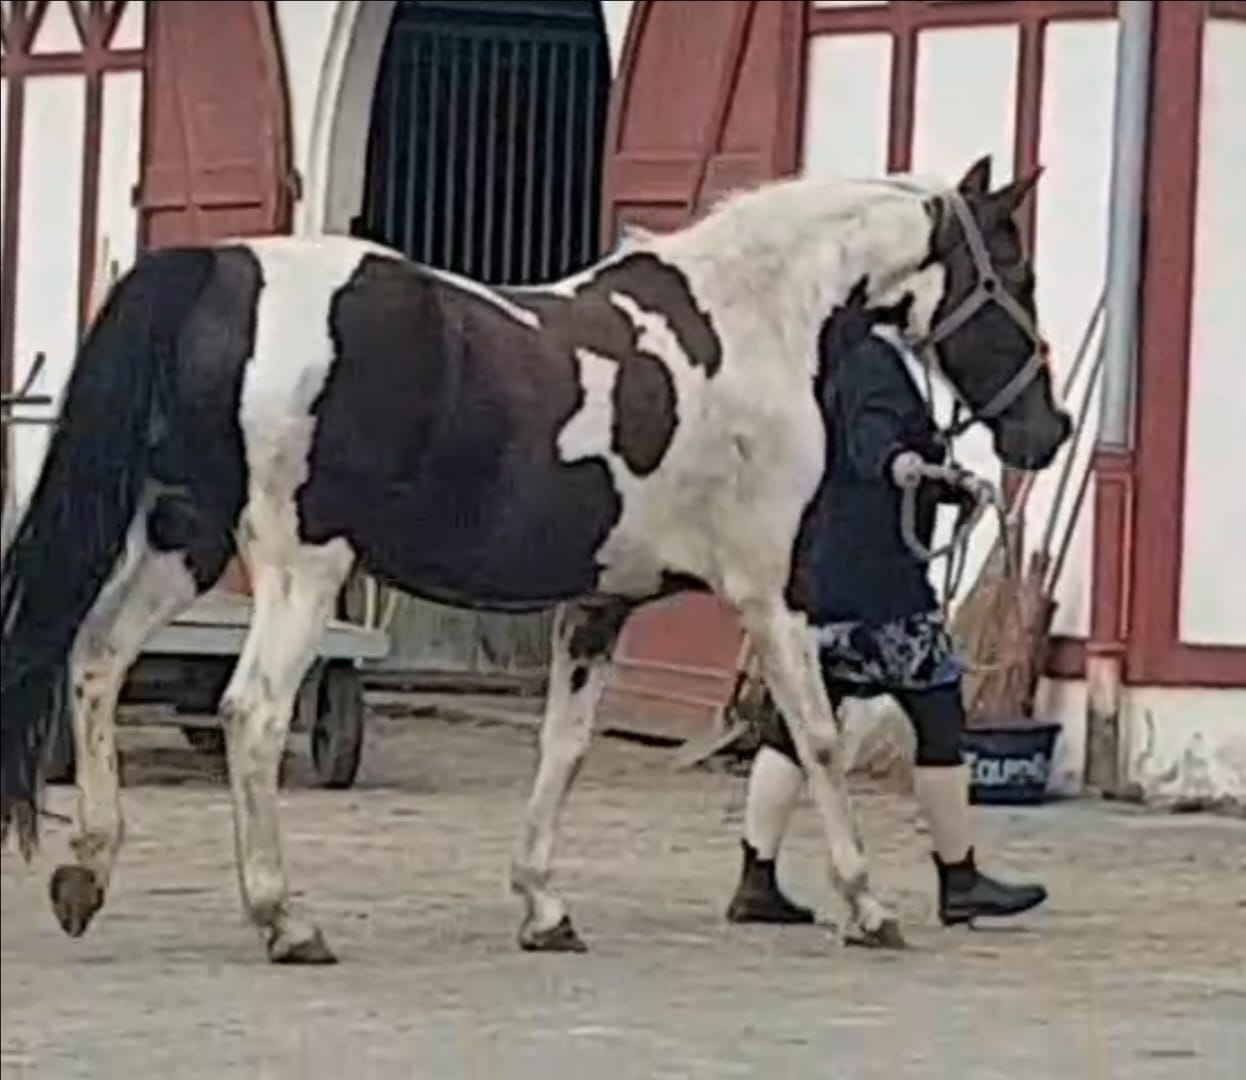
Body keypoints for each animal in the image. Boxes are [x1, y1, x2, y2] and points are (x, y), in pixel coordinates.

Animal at [0, 154, 1070, 964]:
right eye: (1014, 273)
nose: (1047, 429)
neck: (754, 321)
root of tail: (223, 270)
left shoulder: (603, 604)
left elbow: (564, 746)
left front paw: (544, 907)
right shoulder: (769, 591)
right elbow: (814, 737)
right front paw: (869, 905)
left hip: (184, 540)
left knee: (97, 661)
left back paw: (88, 871)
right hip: (299, 566)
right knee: (251, 712)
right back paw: (285, 919)